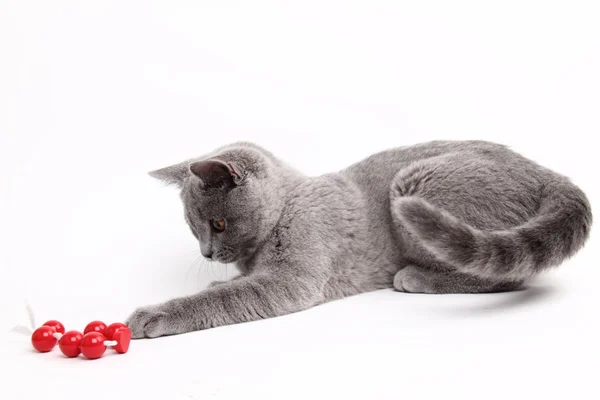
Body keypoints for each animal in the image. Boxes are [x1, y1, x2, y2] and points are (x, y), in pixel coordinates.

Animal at [125, 141, 592, 338]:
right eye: (194, 228)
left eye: (218, 224)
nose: (206, 252)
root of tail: (549, 174)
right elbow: (231, 286)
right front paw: (219, 279)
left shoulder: (290, 280)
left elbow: (224, 299)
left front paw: (154, 315)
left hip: (413, 188)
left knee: (506, 275)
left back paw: (415, 278)